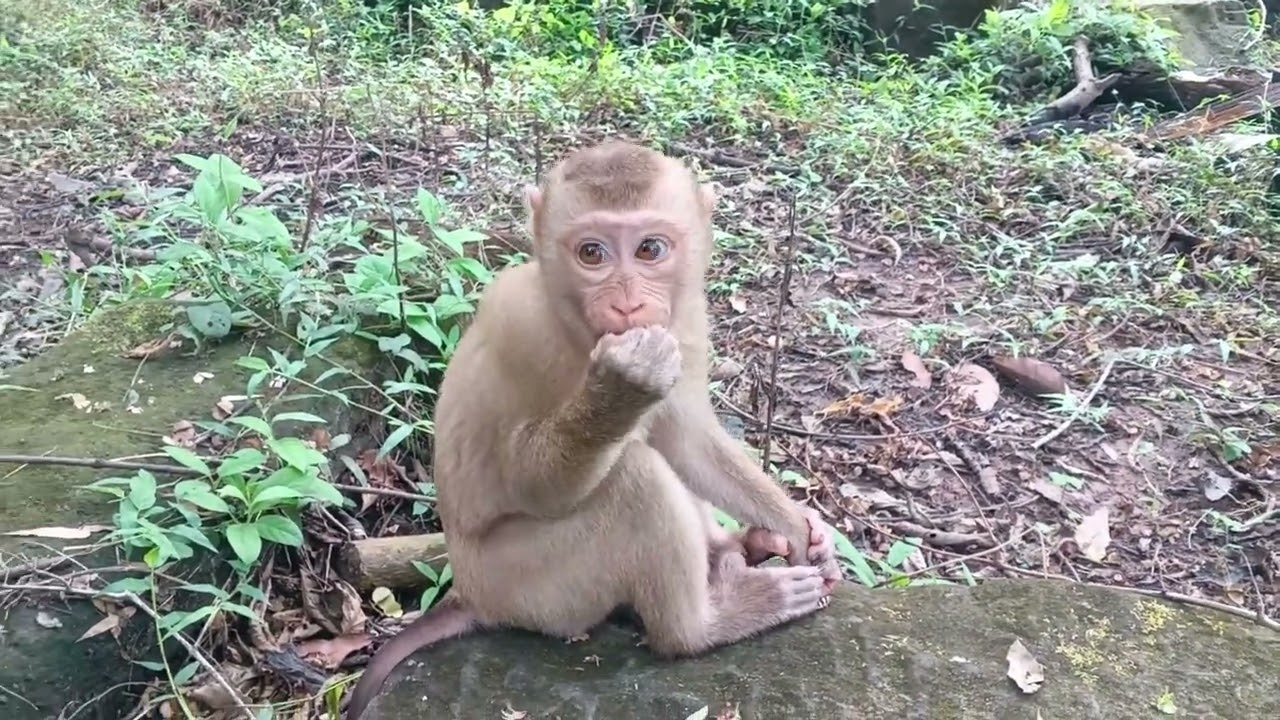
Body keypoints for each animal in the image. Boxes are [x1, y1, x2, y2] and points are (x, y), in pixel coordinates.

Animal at [344, 140, 842, 720]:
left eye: (650, 249)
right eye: (592, 254)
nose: (626, 303)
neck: (576, 329)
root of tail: (471, 593)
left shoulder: (688, 319)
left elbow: (687, 440)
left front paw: (798, 527)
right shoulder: (521, 329)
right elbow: (532, 483)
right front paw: (622, 387)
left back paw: (735, 550)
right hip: (532, 588)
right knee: (637, 479)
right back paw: (701, 627)